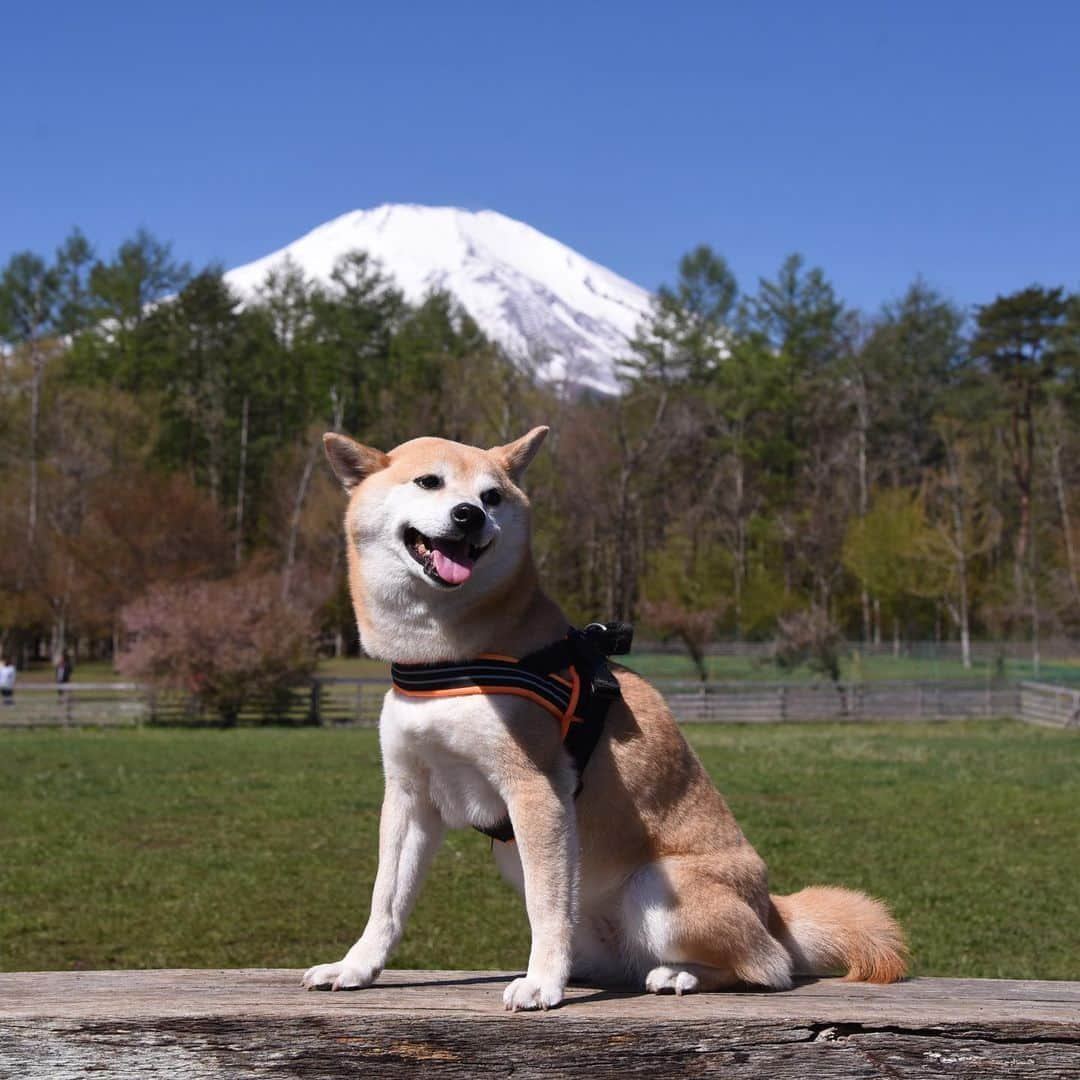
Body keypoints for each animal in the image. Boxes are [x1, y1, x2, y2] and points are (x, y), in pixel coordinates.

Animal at [304, 425, 902, 1006]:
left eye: (492, 496)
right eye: (429, 482)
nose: (469, 514)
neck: (447, 660)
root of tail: (773, 911)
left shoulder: (536, 790)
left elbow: (545, 908)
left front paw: (542, 983)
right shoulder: (409, 796)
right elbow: (386, 900)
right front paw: (357, 966)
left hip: (657, 888)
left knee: (767, 967)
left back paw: (680, 975)